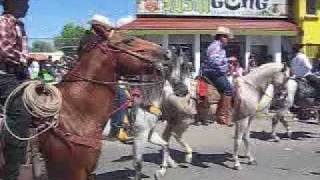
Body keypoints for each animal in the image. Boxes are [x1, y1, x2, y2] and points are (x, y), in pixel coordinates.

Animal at [35, 24, 170, 180]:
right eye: (129, 40)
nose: (167, 53)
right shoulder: (140, 135)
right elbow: (138, 164)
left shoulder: (148, 133)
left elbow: (164, 145)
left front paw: (163, 169)